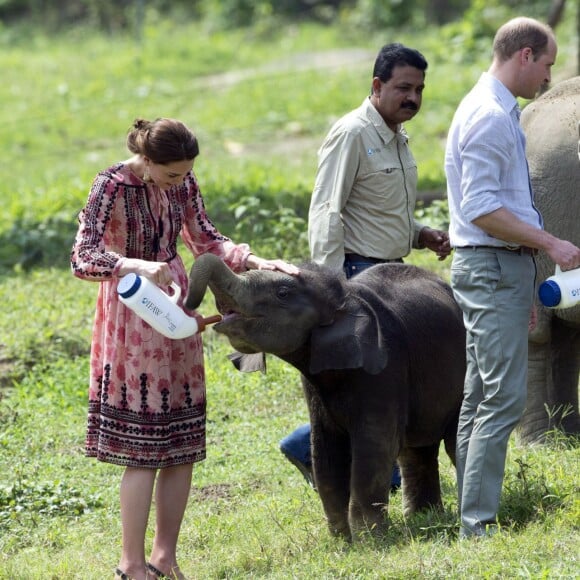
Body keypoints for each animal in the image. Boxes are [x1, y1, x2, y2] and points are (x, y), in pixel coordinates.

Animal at [187, 254, 466, 540]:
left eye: (282, 293)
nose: (190, 306)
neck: (343, 296)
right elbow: (324, 449)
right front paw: (342, 540)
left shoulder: (385, 367)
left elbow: (374, 446)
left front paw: (369, 541)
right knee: (417, 449)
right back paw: (424, 517)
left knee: (449, 441)